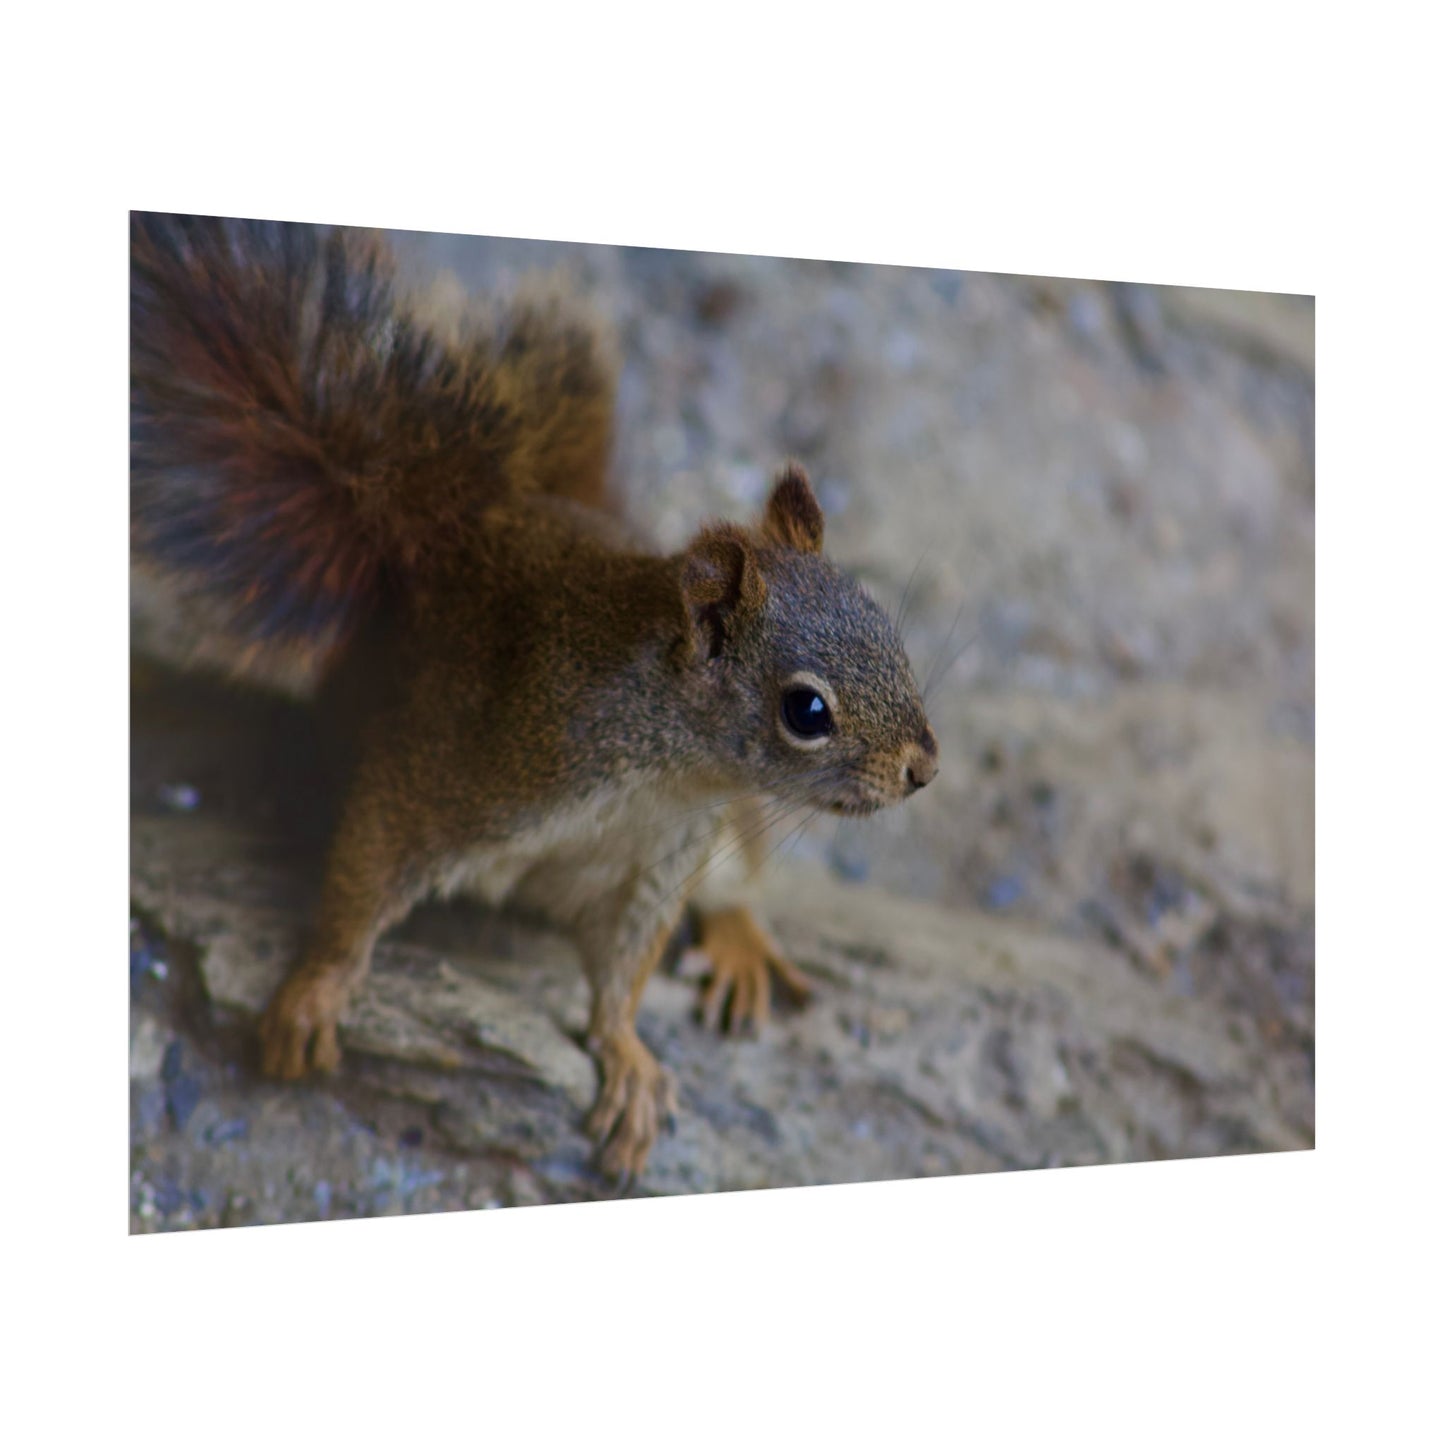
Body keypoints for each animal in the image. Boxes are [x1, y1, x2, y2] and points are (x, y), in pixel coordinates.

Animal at [130, 212, 940, 1182]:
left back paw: (740, 942)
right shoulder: (466, 764)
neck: (665, 767)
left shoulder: (662, 861)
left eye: (882, 623)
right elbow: (366, 873)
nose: (924, 768)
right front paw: (314, 991)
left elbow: (625, 966)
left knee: (735, 883)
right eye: (806, 711)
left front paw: (626, 1055)